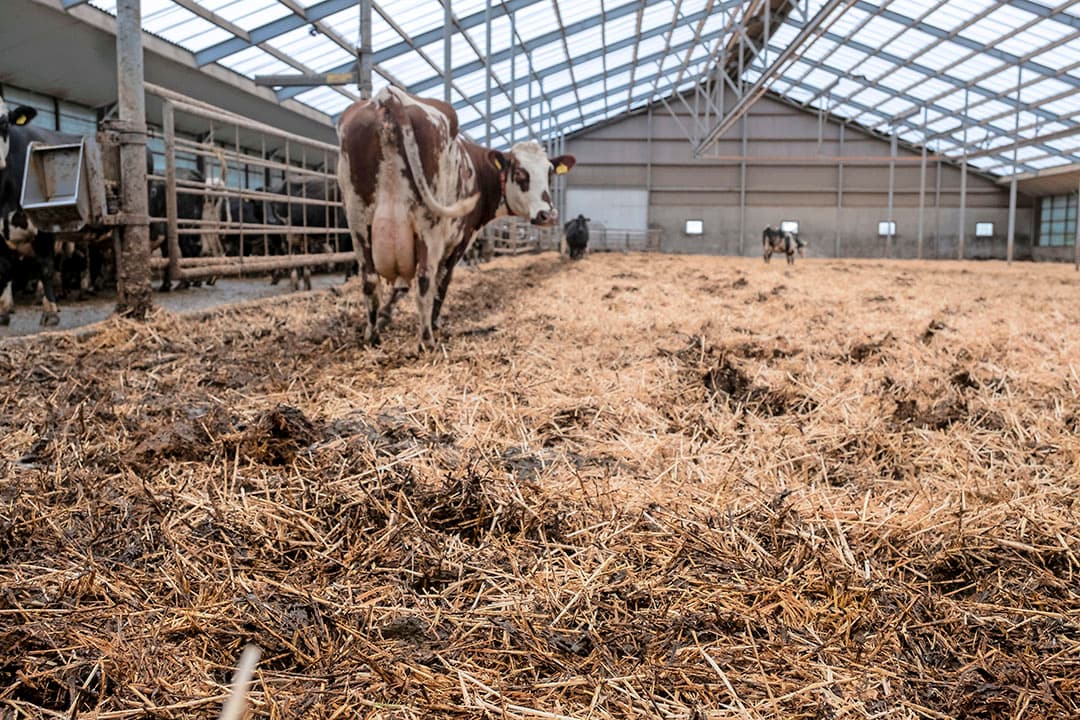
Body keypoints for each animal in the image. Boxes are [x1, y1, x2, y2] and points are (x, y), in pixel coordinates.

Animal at [336, 85, 575, 350]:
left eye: (550, 173)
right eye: (521, 174)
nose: (548, 215)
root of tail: (389, 96)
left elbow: (401, 286)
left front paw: (385, 318)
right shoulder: (460, 239)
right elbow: (442, 281)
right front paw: (434, 321)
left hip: (359, 220)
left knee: (369, 280)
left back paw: (372, 336)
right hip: (428, 225)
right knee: (424, 279)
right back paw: (427, 341)